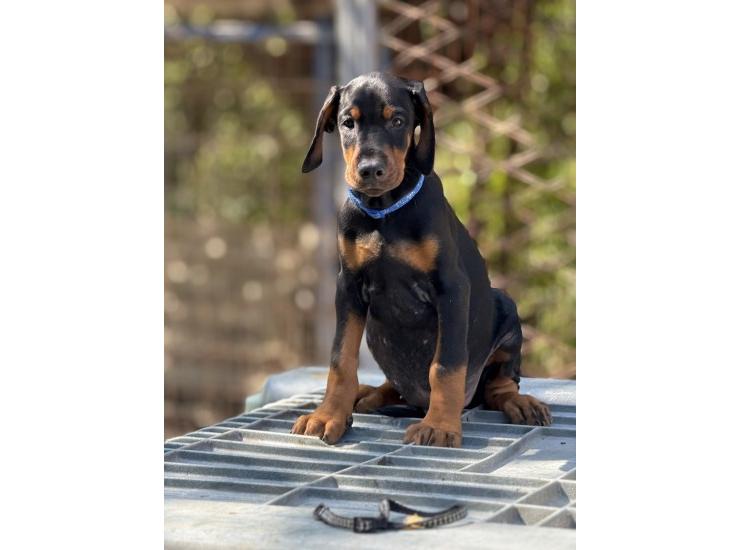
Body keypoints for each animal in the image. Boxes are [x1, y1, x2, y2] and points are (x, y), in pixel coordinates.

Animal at [291, 72, 551, 448]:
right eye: (347, 123)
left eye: (398, 121)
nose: (371, 170)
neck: (384, 210)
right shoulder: (348, 287)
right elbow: (341, 359)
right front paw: (329, 415)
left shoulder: (452, 289)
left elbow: (446, 366)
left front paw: (440, 425)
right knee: (393, 386)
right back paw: (367, 395)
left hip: (505, 310)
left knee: (499, 387)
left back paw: (519, 402)